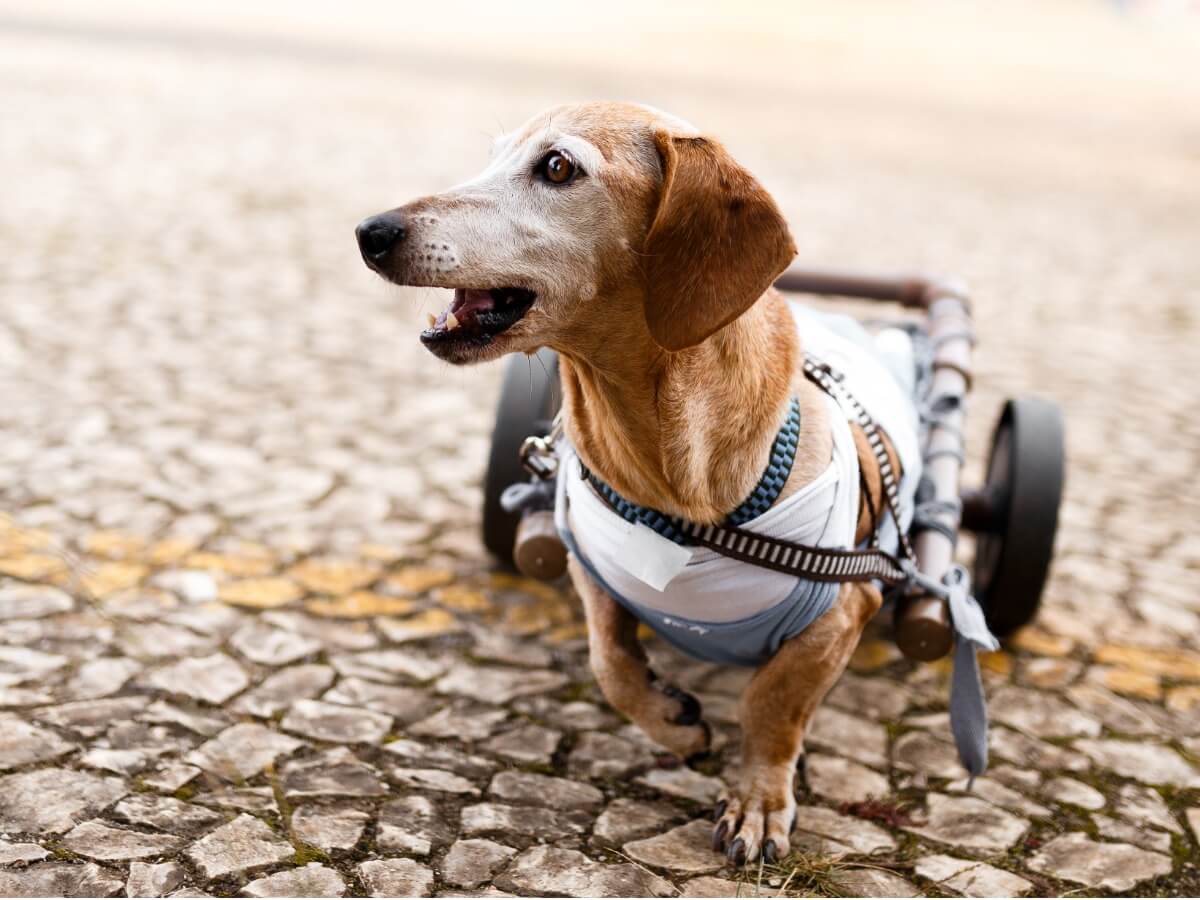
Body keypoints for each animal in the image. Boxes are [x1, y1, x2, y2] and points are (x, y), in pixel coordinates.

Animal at [355, 102, 916, 864]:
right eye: (494, 155)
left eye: (557, 166)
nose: (370, 232)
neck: (674, 486)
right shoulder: (591, 568)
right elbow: (612, 663)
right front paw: (672, 720)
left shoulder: (845, 608)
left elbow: (773, 703)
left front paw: (759, 799)